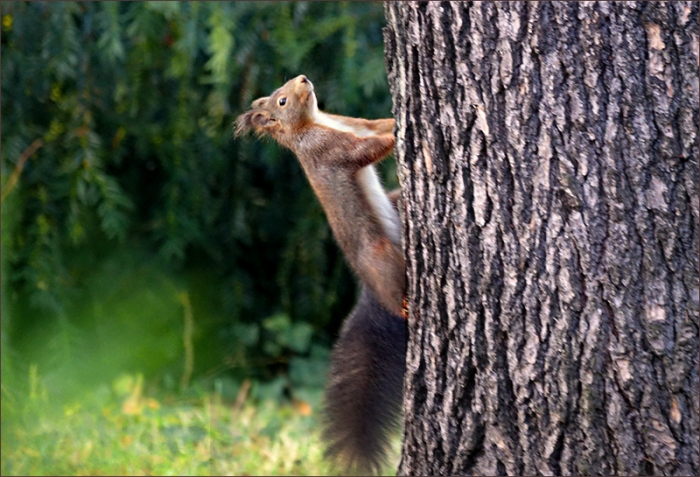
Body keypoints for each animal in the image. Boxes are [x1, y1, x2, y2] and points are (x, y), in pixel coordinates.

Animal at [235, 75, 407, 474]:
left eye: (285, 87)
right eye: (282, 101)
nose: (303, 79)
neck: (318, 121)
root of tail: (370, 291)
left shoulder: (353, 124)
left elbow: (374, 126)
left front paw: (394, 116)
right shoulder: (328, 150)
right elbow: (365, 152)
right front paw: (399, 133)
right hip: (379, 258)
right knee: (396, 294)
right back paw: (407, 307)